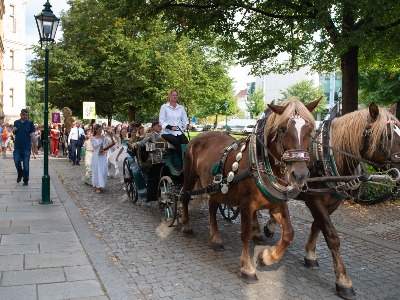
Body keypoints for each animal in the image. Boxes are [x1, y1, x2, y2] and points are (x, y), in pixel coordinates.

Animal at [180, 99, 320, 284]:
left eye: (310, 130)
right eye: (283, 129)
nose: (300, 174)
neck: (260, 164)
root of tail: (197, 137)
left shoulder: (277, 203)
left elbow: (289, 233)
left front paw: (267, 257)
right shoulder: (247, 205)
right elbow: (246, 234)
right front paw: (247, 268)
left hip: (216, 188)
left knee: (212, 206)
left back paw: (216, 239)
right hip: (189, 176)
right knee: (183, 196)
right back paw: (186, 226)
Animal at [264, 102, 400, 298]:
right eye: (388, 135)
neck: (326, 156)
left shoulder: (333, 201)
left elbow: (317, 226)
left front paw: (310, 255)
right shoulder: (314, 200)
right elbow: (332, 236)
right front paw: (343, 281)